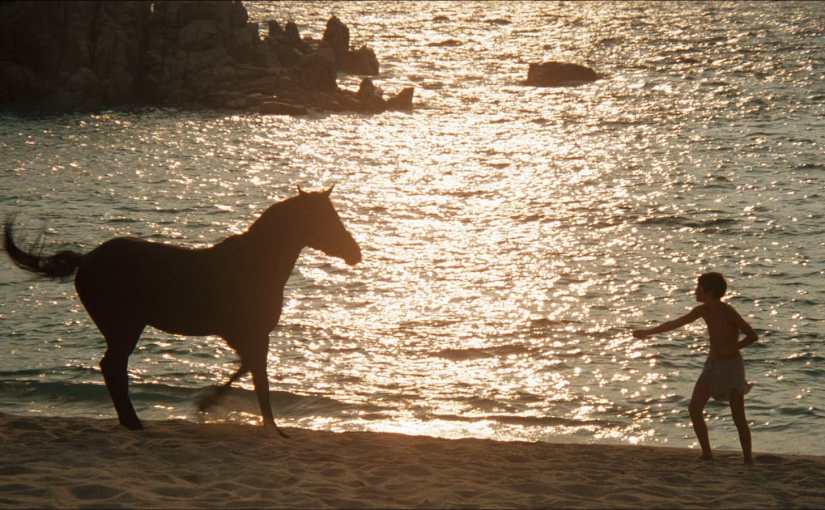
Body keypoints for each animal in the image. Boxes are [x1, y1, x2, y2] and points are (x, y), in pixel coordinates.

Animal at [3, 187, 362, 436]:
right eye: (325, 219)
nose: (354, 253)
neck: (254, 264)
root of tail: (87, 259)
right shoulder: (250, 334)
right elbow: (257, 377)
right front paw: (215, 408)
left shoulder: (246, 336)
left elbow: (251, 372)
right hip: (125, 328)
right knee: (112, 368)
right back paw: (133, 422)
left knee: (113, 369)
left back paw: (131, 421)